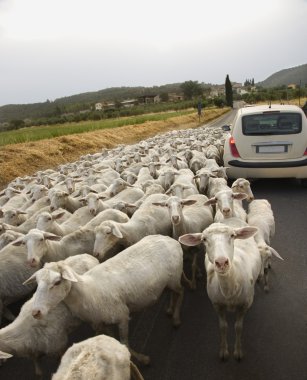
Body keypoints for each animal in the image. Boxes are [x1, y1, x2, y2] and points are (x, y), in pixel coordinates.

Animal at [24, 235, 185, 366]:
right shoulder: (101, 322)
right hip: (168, 282)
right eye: (37, 283)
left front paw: (141, 359)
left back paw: (176, 319)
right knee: (173, 293)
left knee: (180, 292)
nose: (36, 312)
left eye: (57, 282)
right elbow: (112, 339)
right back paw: (170, 309)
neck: (88, 292)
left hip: (175, 278)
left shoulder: (122, 316)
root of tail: (170, 239)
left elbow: (124, 343)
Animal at [180, 218, 262, 360]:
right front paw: (224, 351)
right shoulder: (217, 305)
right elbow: (223, 327)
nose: (222, 262)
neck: (229, 290)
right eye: (204, 239)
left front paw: (238, 351)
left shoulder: (244, 305)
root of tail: (230, 218)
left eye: (233, 235)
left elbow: (238, 327)